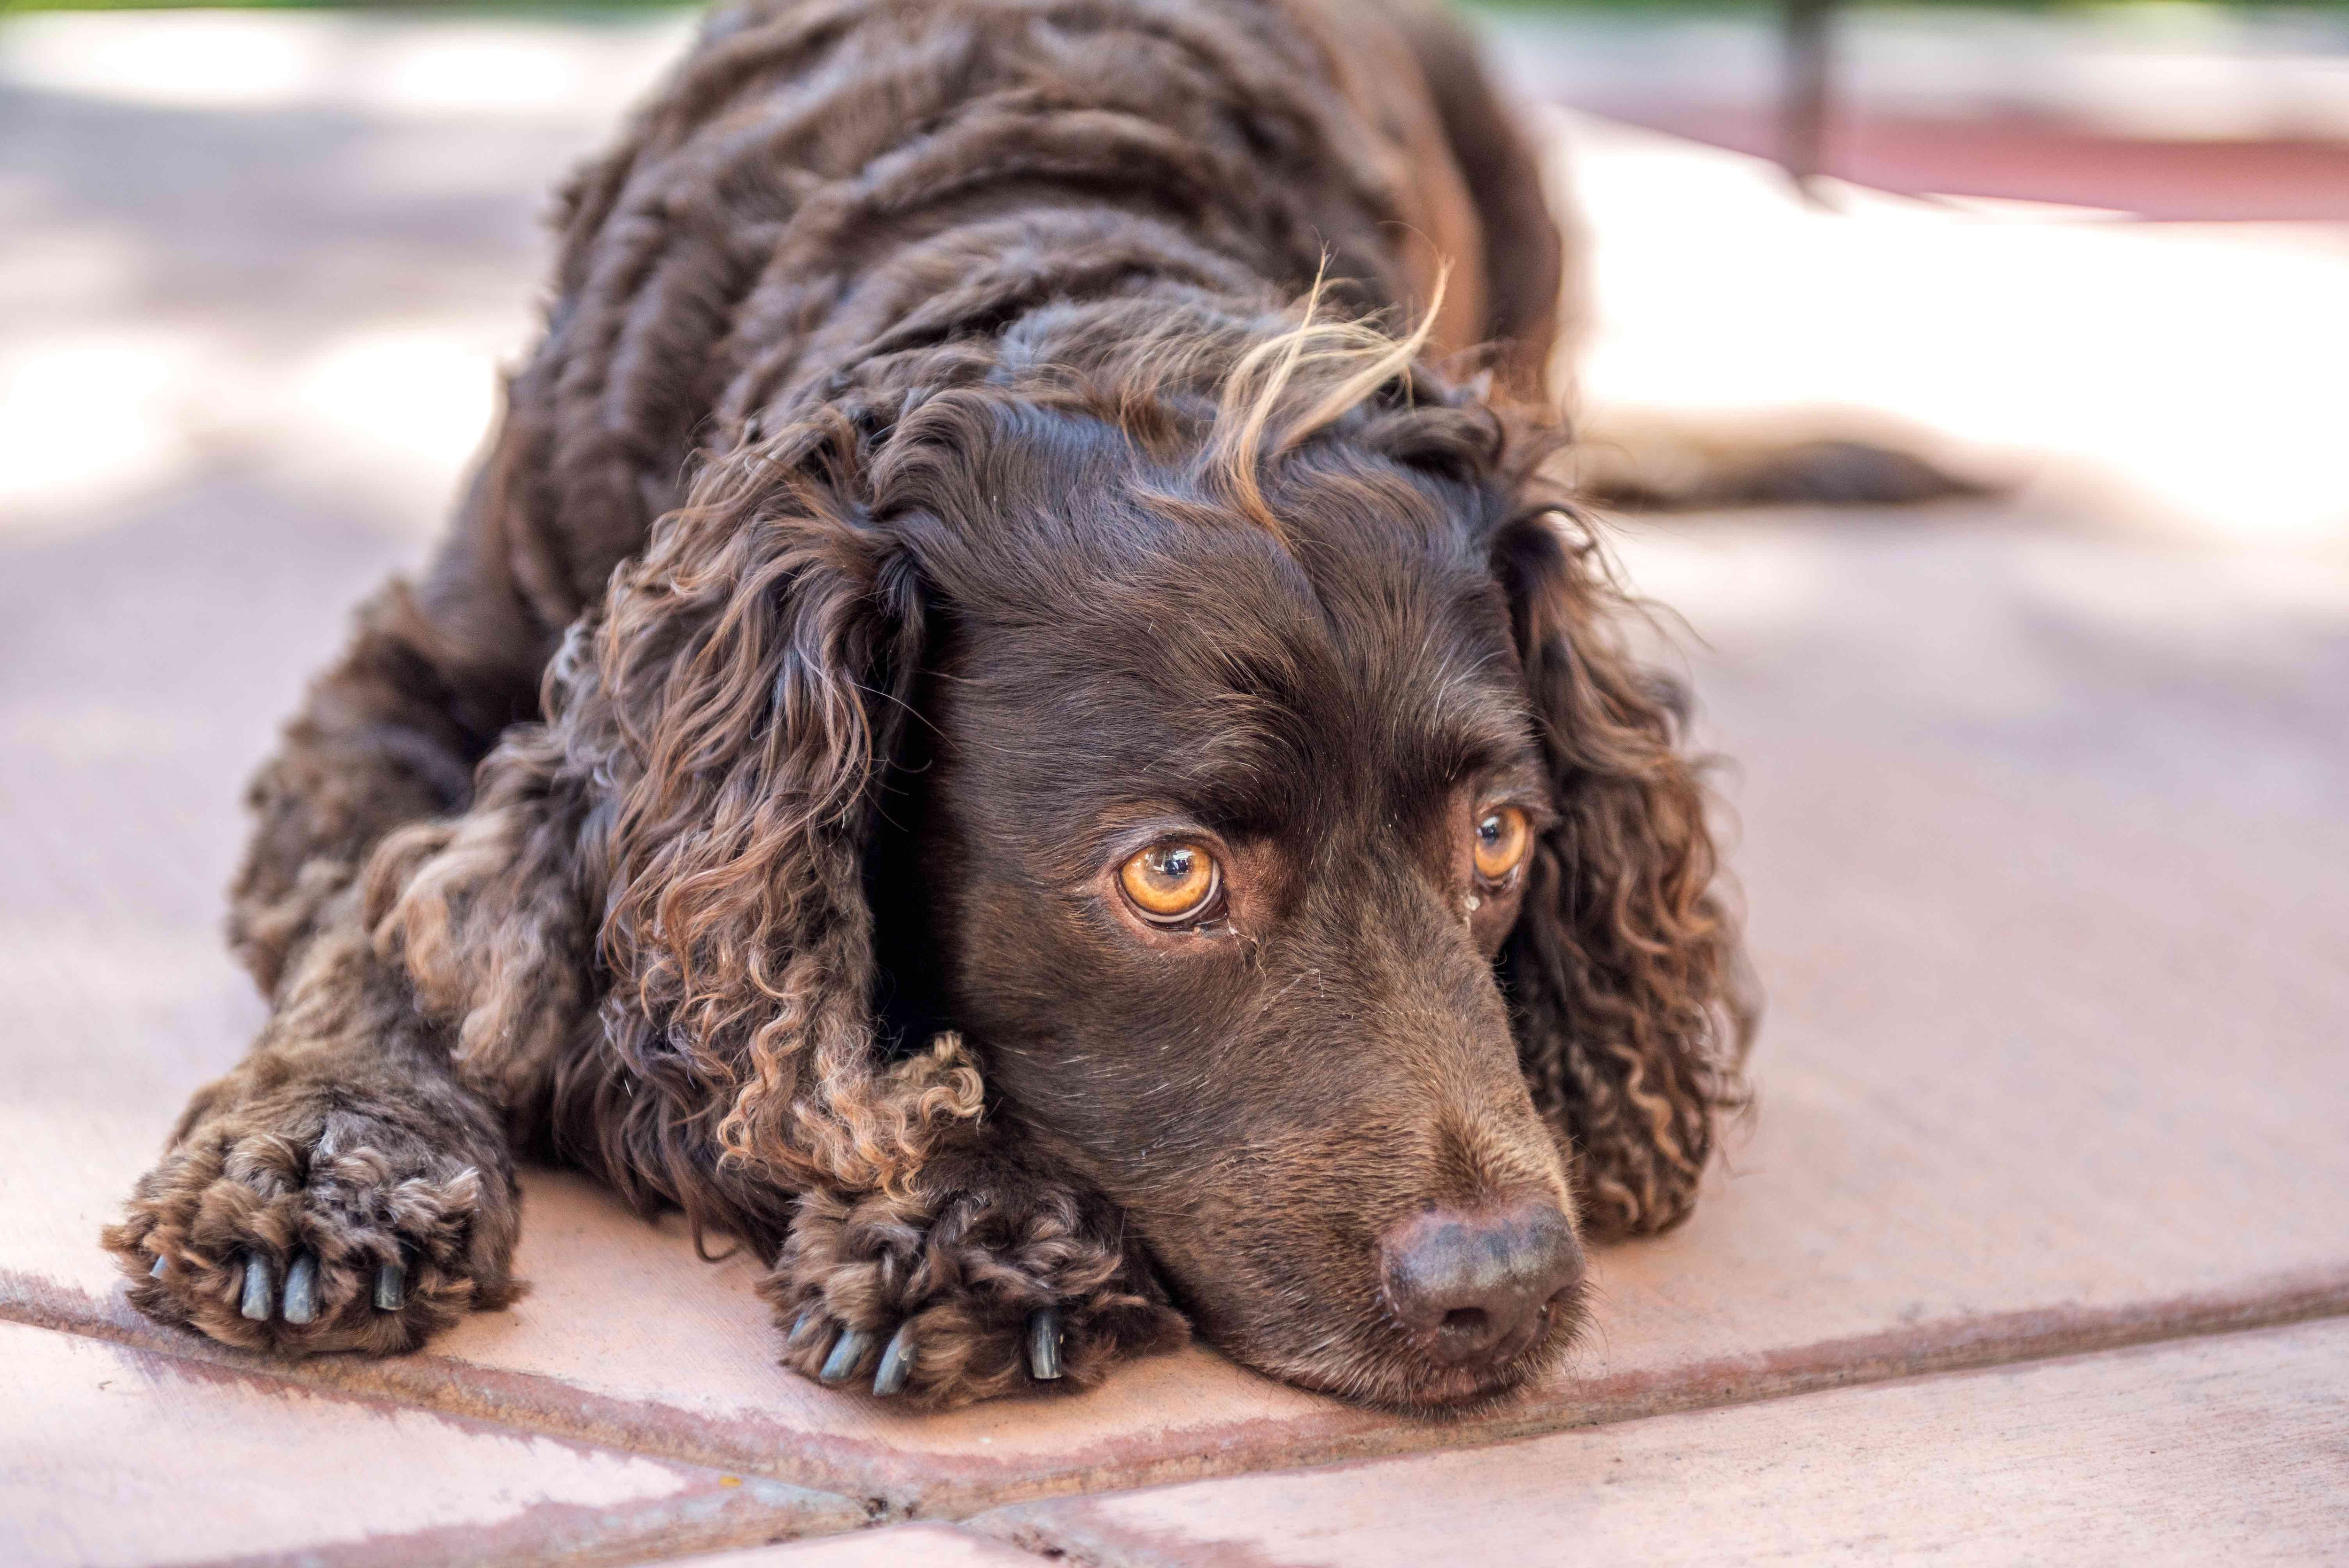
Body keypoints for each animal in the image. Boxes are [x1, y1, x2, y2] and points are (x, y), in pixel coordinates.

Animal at [110, 0, 1757, 1408]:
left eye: (1498, 838)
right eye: (1171, 873)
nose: (1508, 1287)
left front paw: (973, 1219)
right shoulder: (403, 689)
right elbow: (384, 925)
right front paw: (323, 1162)